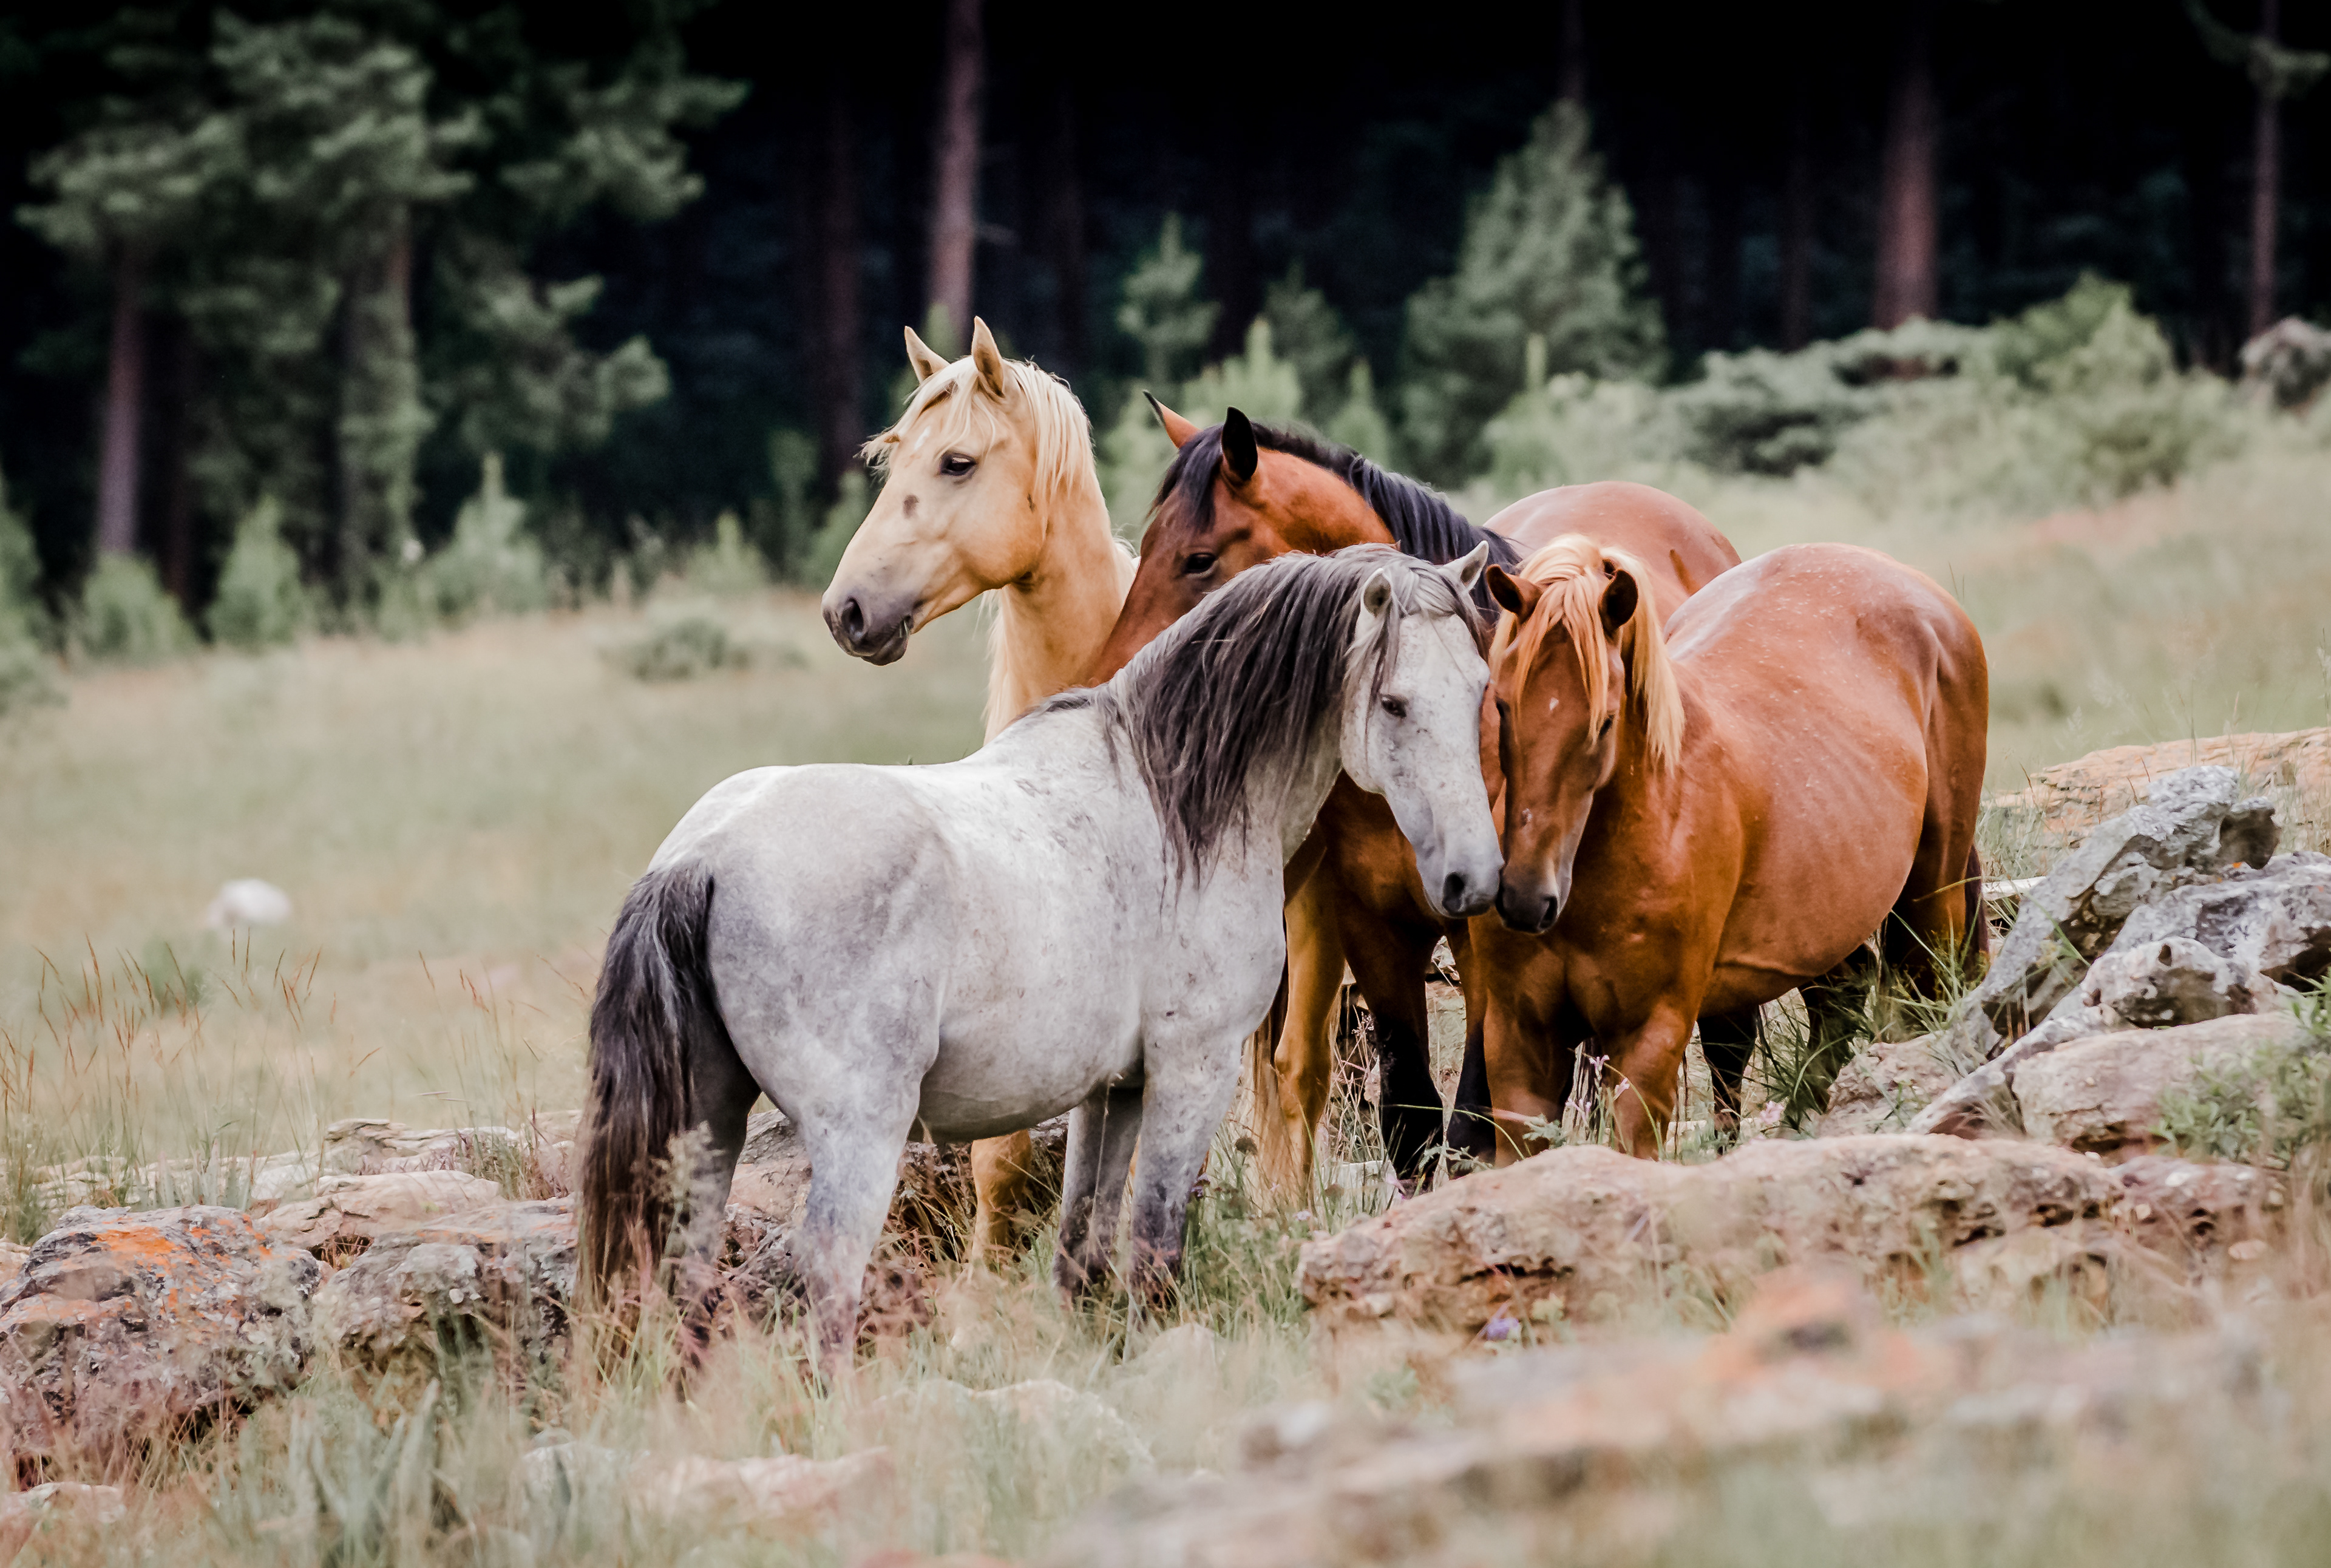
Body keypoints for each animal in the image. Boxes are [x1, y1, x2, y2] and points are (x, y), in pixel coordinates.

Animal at [582, 546, 1503, 1369]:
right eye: (1394, 703)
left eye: (1481, 693)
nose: (1473, 878)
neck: (1175, 804)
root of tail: (702, 855)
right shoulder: (1191, 1074)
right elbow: (1155, 1245)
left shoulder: (1113, 1090)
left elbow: (1083, 1245)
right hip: (860, 1132)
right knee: (831, 1281)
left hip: (710, 1126)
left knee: (685, 1271)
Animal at [1087, 401, 1740, 1190]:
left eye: (1200, 559)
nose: (1111, 677)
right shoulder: (1376, 926)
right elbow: (1409, 1117)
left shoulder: (1486, 941)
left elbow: (1469, 1129)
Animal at [1471, 538, 1989, 1160]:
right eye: (1503, 705)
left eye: (1606, 720)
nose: (1526, 897)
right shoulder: (1519, 1037)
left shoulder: (1650, 1034)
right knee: (1835, 999)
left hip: (1931, 899)